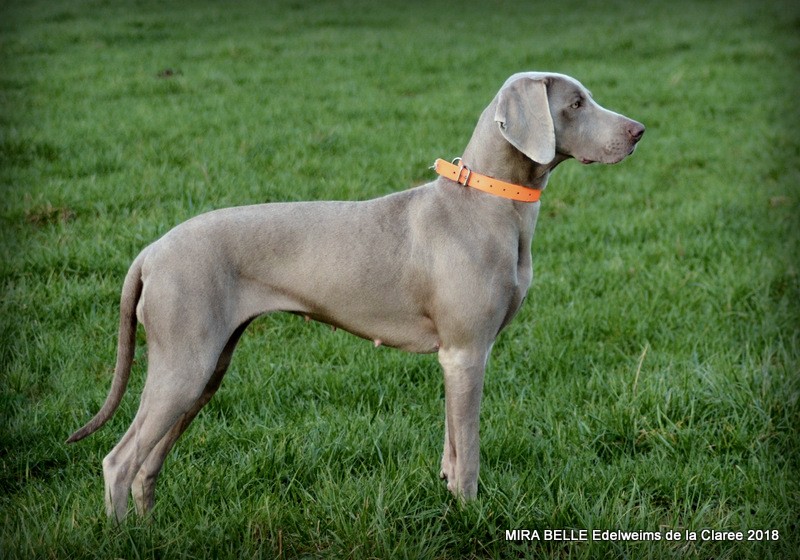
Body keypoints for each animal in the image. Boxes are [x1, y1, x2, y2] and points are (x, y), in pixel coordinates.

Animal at [67, 71, 644, 520]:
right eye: (575, 103)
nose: (639, 131)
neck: (486, 202)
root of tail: (150, 252)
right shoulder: (466, 352)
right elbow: (470, 451)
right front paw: (470, 518)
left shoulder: (454, 358)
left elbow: (451, 448)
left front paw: (448, 499)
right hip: (184, 362)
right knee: (119, 460)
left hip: (206, 370)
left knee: (147, 464)